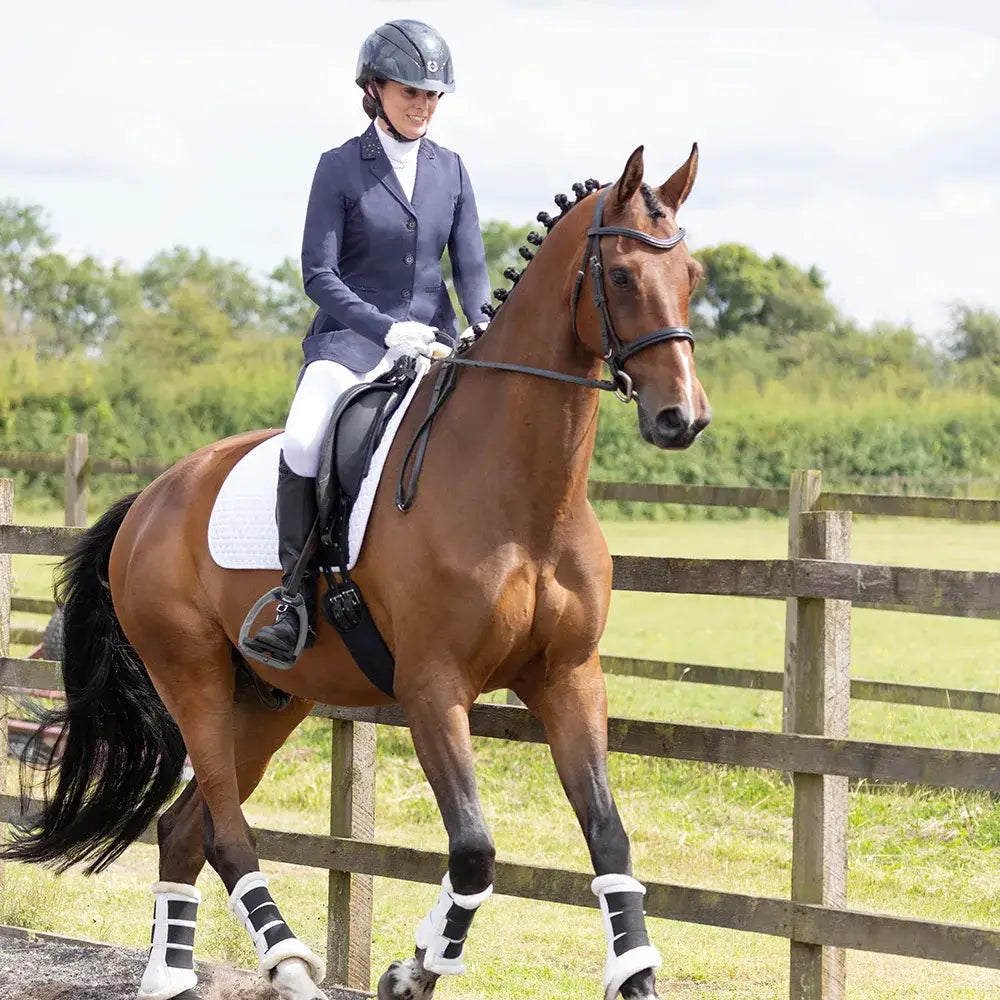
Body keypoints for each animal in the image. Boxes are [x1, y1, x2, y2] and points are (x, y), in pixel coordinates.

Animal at [2, 144, 711, 1000]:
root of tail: (153, 497)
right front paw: (412, 971)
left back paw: (172, 976)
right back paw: (289, 968)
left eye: (693, 276)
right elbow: (474, 850)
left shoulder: (568, 676)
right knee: (224, 832)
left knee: (182, 829)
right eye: (624, 276)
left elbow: (608, 836)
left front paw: (635, 975)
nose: (682, 419)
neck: (523, 496)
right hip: (192, 676)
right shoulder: (432, 686)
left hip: (269, 701)